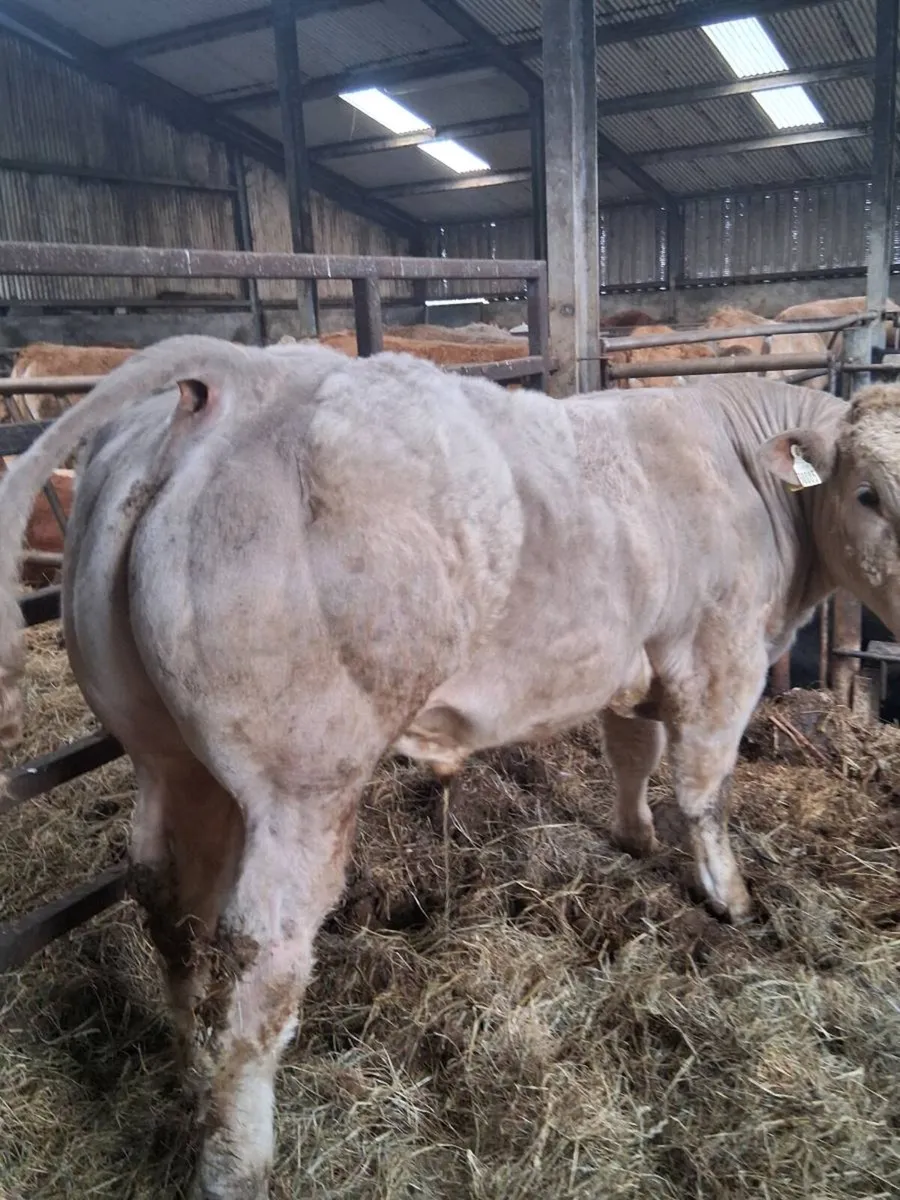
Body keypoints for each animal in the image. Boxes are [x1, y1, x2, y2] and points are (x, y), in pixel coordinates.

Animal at [3, 337, 900, 1198]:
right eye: (869, 494)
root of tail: (237, 376)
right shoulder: (721, 659)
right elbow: (704, 789)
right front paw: (731, 899)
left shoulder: (630, 661)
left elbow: (630, 754)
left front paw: (635, 838)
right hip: (305, 783)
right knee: (264, 948)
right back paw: (237, 1164)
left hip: (166, 756)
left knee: (168, 901)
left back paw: (191, 1071)